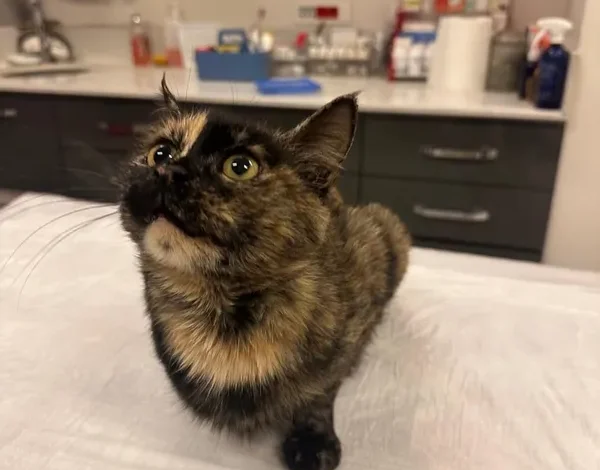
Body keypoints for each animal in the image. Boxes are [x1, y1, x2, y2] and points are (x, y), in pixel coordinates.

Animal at [118, 78, 410, 470]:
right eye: (160, 153)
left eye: (240, 166)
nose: (168, 171)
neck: (223, 313)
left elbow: (321, 387)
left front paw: (312, 441)